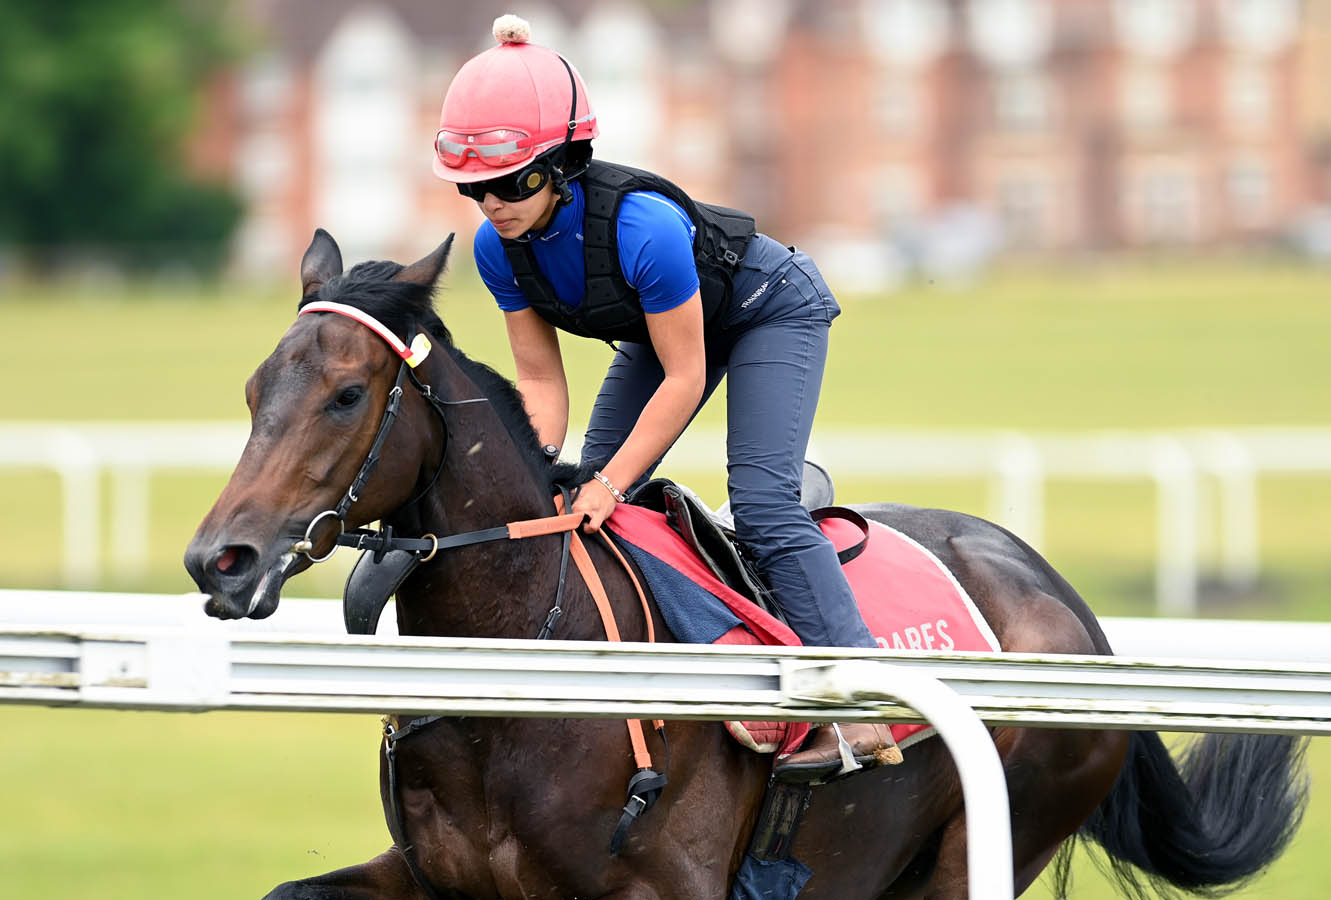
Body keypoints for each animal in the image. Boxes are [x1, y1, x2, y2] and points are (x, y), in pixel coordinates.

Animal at [185, 230, 1306, 900]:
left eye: (344, 395)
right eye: (251, 390)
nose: (218, 560)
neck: (528, 667)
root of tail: (1066, 601)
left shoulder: (665, 886)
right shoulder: (435, 877)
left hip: (987, 837)